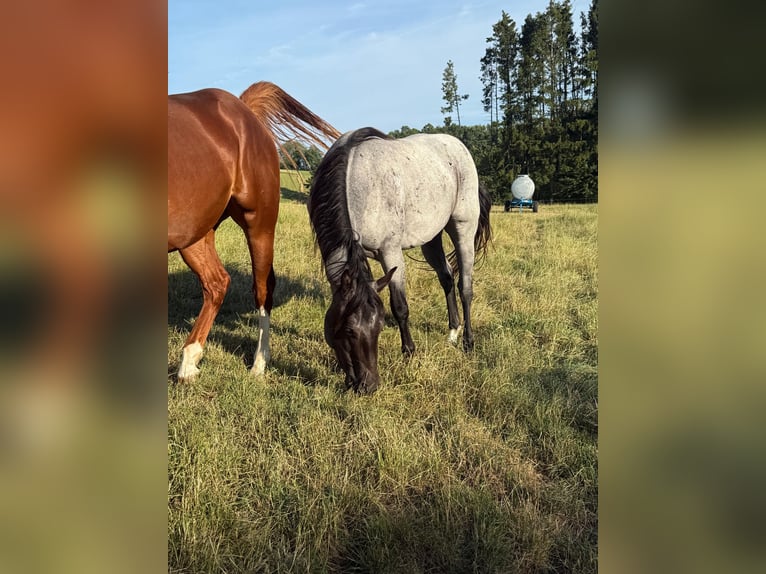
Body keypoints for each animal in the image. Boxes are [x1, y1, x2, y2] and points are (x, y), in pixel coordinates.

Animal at [169, 82, 340, 382]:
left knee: (262, 288)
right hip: (195, 236)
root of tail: (242, 108)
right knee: (216, 283)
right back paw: (189, 362)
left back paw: (258, 364)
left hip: (259, 225)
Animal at [307, 127, 492, 394]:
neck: (356, 179)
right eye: (349, 330)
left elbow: (400, 307)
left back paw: (468, 341)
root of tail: (458, 146)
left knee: (465, 287)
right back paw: (452, 333)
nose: (369, 386)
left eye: (379, 326)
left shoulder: (391, 252)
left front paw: (409, 353)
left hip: (463, 229)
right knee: (447, 278)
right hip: (431, 238)